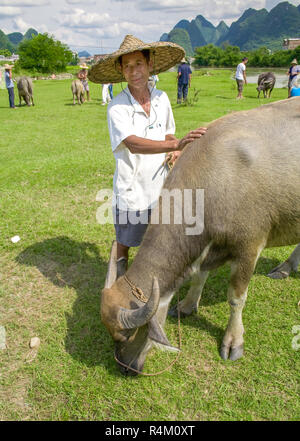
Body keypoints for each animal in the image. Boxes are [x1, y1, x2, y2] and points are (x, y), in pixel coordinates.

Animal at [101, 97, 300, 374]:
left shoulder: (249, 247)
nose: (125, 367)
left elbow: (236, 299)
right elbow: (198, 277)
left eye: (127, 335)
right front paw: (187, 305)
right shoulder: (206, 248)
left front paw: (233, 340)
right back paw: (285, 267)